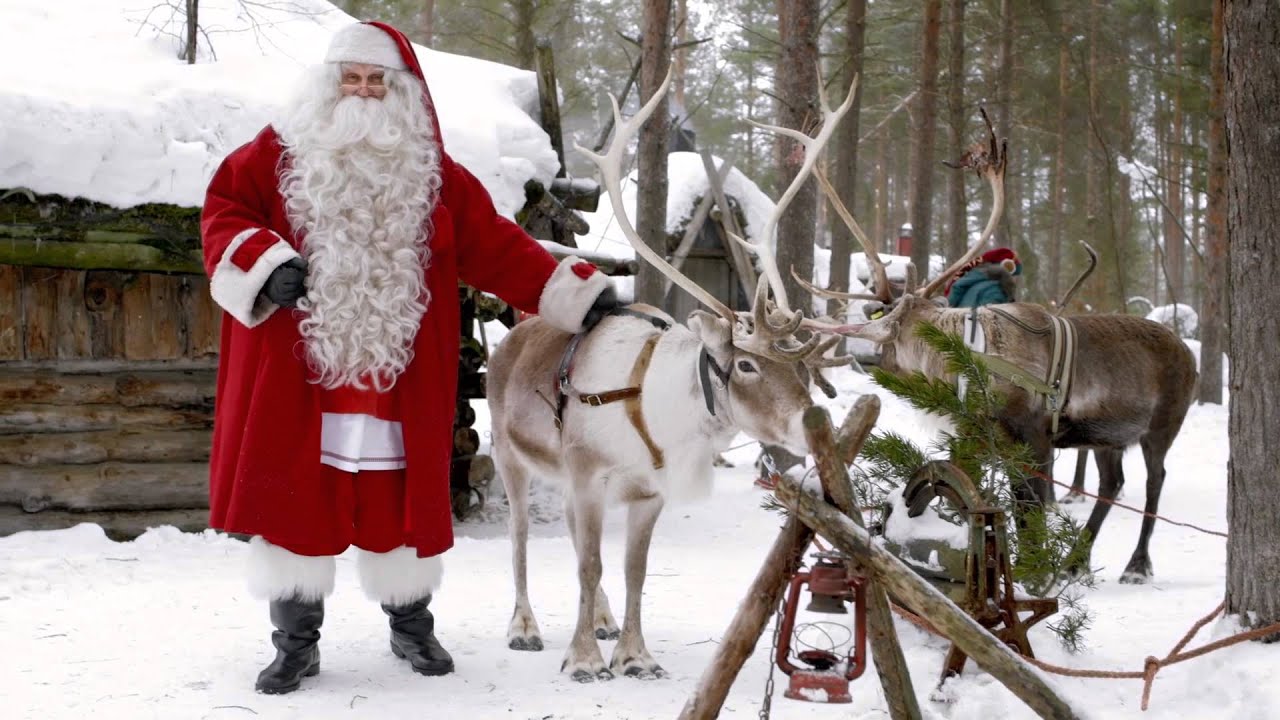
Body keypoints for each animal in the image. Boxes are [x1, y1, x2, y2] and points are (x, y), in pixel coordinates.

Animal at [485, 72, 856, 681]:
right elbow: (590, 565)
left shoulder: (645, 494)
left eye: (799, 365)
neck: (657, 418)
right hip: (510, 454)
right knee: (520, 537)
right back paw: (524, 627)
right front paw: (583, 660)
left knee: (571, 537)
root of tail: (514, 335)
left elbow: (632, 570)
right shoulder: (588, 475)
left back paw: (603, 620)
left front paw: (634, 655)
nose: (810, 421)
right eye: (747, 363)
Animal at [796, 113, 1199, 584]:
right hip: (1108, 437)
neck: (969, 361)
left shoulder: (1035, 439)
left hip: (1161, 427)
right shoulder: (976, 437)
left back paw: (1136, 565)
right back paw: (1075, 561)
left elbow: (1030, 511)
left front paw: (1031, 572)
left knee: (1155, 481)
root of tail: (1190, 353)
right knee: (1111, 484)